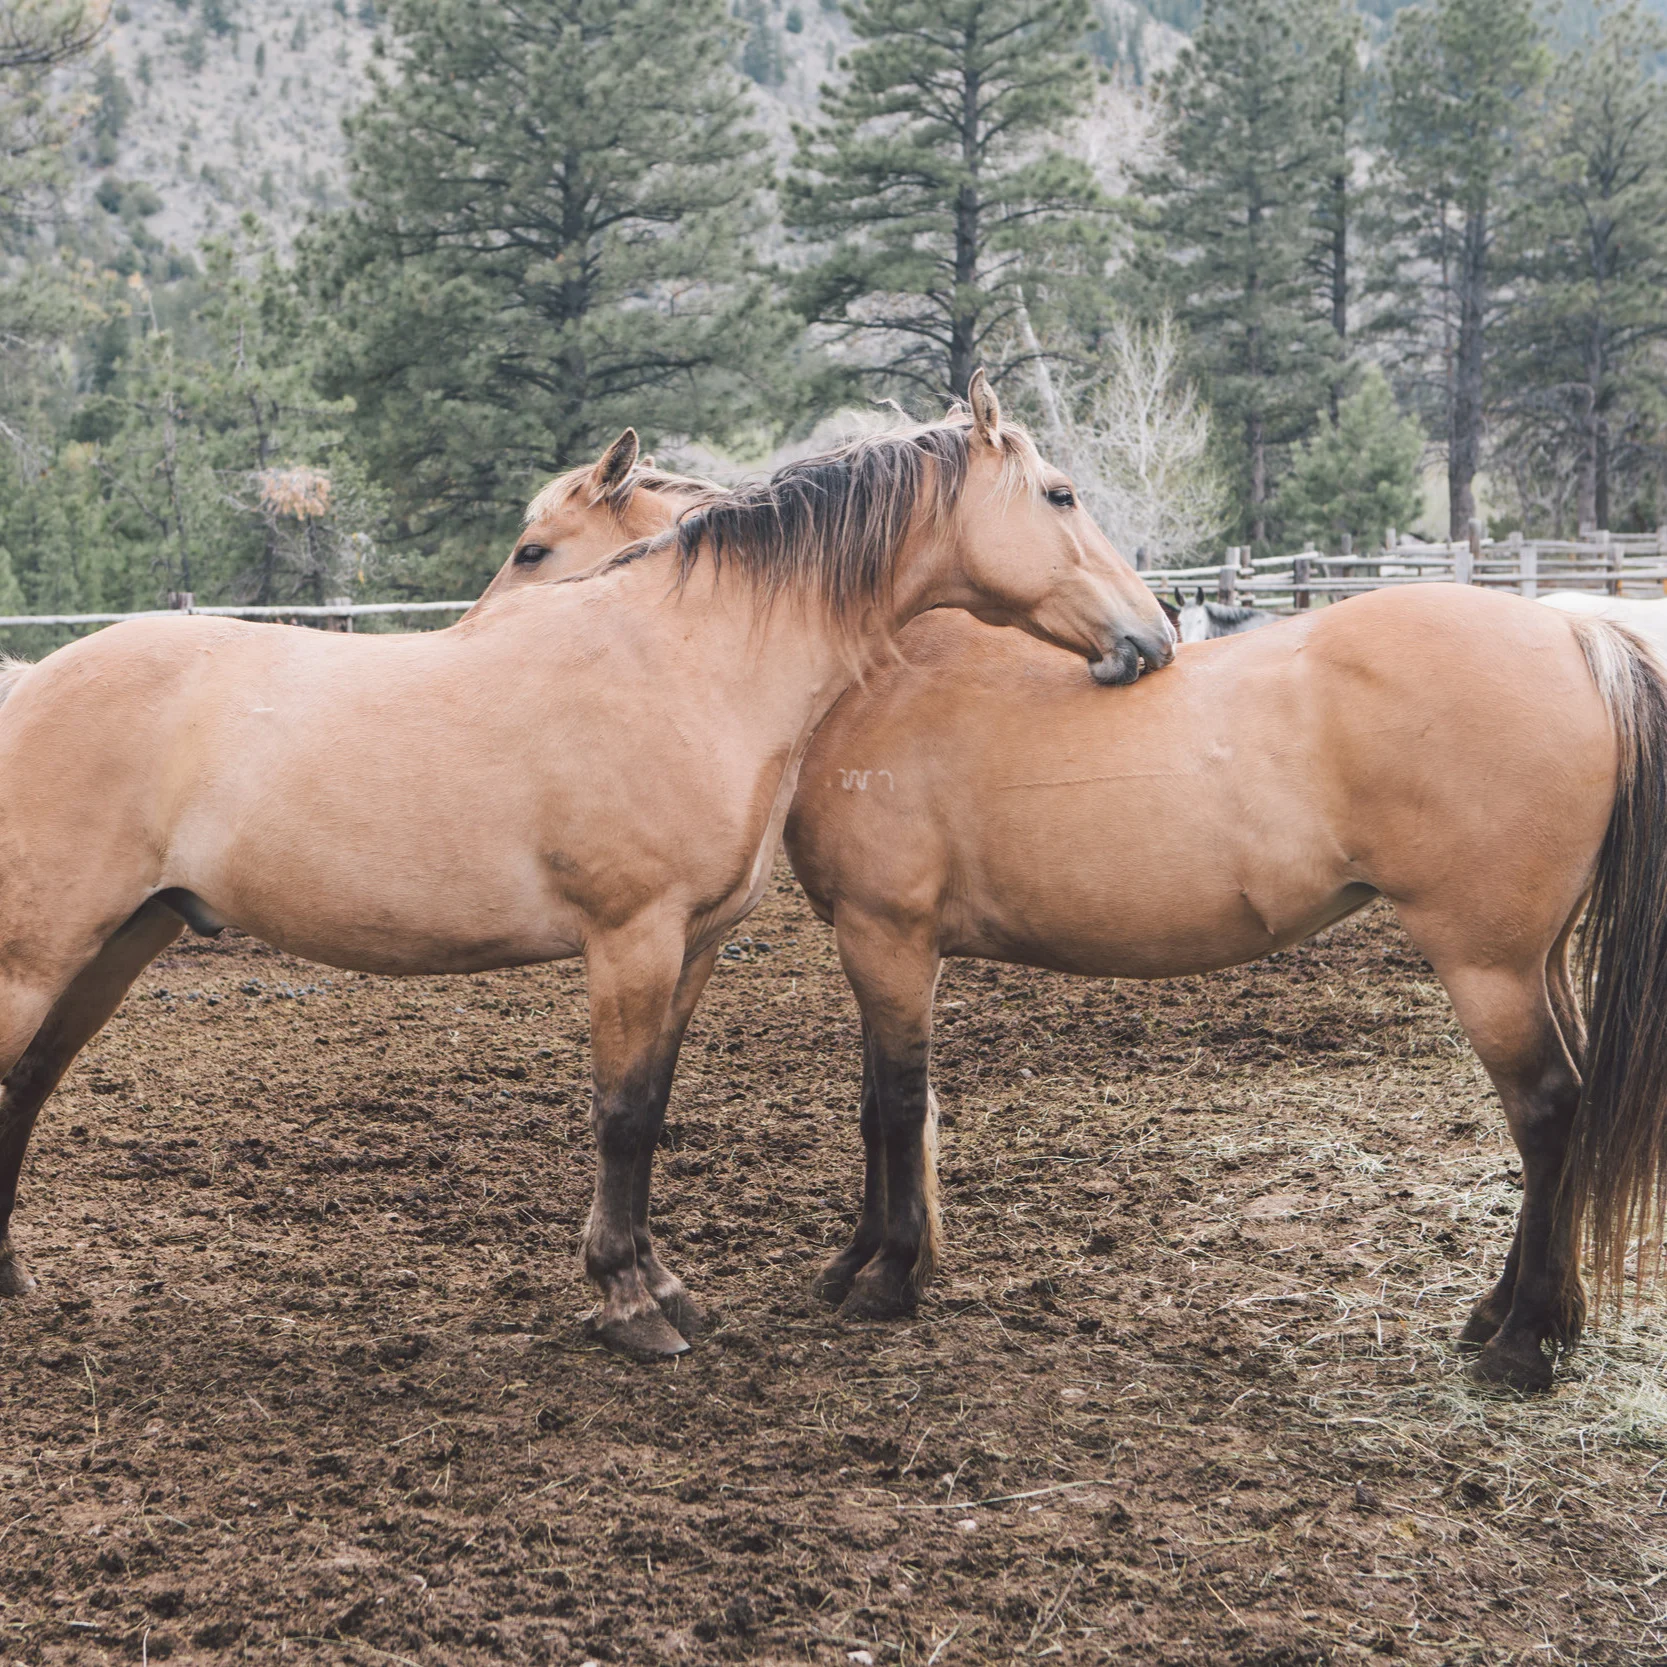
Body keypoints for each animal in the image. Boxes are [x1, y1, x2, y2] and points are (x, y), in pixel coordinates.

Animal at [0, 374, 1176, 1362]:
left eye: (534, 549)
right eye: (1061, 494)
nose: (1153, 635)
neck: (690, 660)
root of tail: (32, 682)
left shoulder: (692, 944)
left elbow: (649, 1105)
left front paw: (660, 1286)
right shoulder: (630, 937)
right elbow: (620, 1116)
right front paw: (625, 1304)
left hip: (118, 942)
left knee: (30, 1082)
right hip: (39, 956)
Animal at [782, 591, 1667, 1393]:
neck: (880, 685)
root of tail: (1575, 631)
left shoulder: (886, 938)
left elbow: (900, 1106)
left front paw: (889, 1274)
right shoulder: (873, 948)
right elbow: (875, 1105)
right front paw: (853, 1260)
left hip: (1487, 968)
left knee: (1547, 1113)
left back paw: (1518, 1344)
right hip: (1537, 959)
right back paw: (1508, 1314)